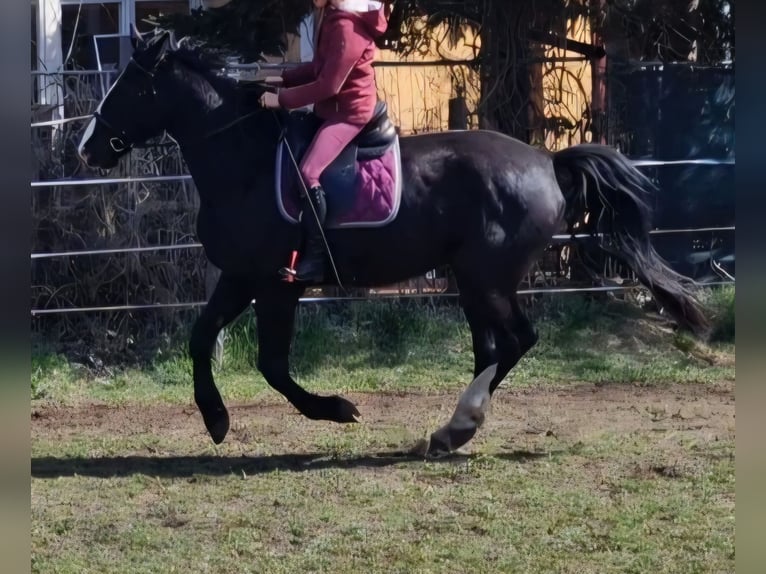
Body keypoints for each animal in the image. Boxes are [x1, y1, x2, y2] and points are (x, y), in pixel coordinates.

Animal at [77, 29, 708, 457]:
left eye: (131, 84)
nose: (87, 146)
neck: (246, 162)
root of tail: (547, 163)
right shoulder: (240, 276)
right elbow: (200, 337)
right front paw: (215, 419)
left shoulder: (277, 285)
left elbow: (272, 365)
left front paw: (335, 409)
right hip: (470, 281)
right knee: (492, 349)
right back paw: (453, 430)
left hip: (486, 277)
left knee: (517, 341)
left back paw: (457, 425)